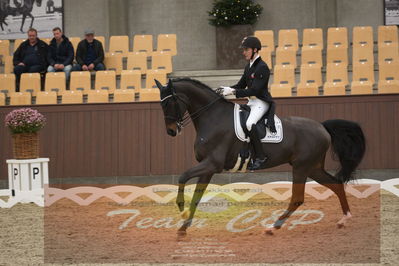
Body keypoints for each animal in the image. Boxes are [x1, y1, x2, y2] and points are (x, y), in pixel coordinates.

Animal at [155, 77, 368, 237]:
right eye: (161, 103)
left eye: (170, 102)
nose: (171, 131)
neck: (212, 118)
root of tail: (322, 127)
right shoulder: (207, 168)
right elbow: (197, 196)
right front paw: (183, 228)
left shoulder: (212, 164)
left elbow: (183, 176)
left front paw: (180, 207)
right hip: (313, 167)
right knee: (336, 184)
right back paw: (344, 219)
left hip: (302, 167)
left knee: (298, 198)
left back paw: (273, 227)